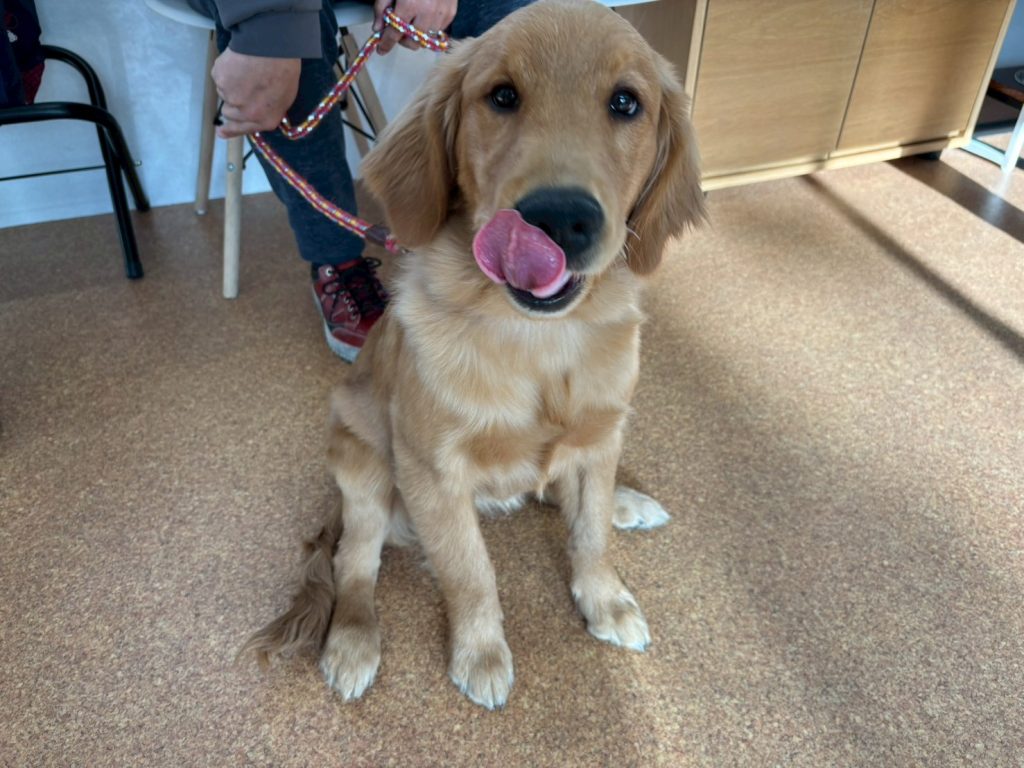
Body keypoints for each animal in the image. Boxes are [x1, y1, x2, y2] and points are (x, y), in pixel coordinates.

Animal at [242, 0, 704, 709]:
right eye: (502, 96)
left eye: (626, 102)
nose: (559, 219)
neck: (539, 338)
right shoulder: (434, 472)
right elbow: (470, 571)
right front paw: (481, 653)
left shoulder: (602, 435)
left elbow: (590, 533)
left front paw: (605, 599)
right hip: (364, 466)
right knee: (354, 563)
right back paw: (352, 642)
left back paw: (626, 503)